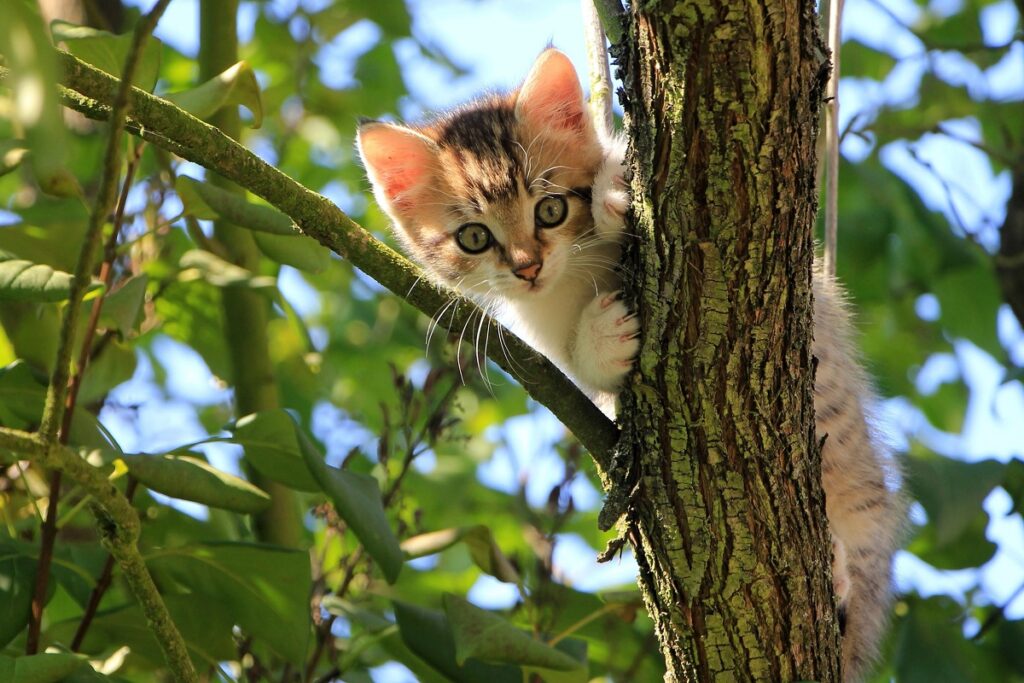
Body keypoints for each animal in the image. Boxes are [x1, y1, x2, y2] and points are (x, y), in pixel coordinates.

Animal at [356, 48, 901, 683]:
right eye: (473, 237)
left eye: (550, 208)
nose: (527, 267)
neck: (573, 274)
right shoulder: (543, 333)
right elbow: (580, 368)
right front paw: (602, 337)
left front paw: (614, 193)